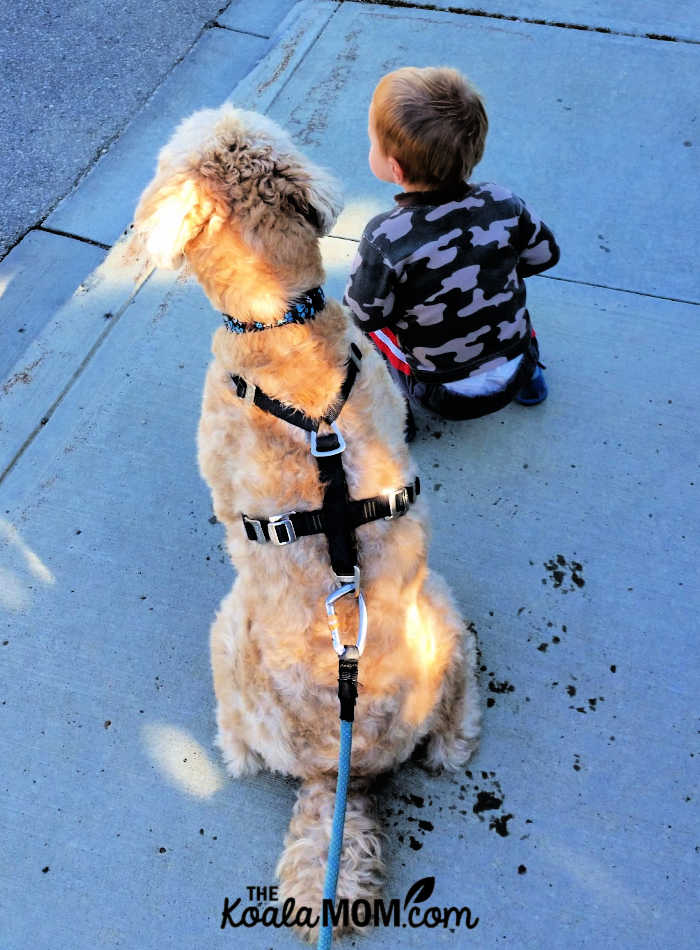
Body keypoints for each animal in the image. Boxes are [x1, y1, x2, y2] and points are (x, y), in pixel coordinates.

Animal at [130, 102, 482, 944]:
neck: (279, 325)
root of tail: (337, 769)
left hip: (227, 636)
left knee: (243, 747)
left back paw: (230, 750)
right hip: (446, 613)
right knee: (456, 733)